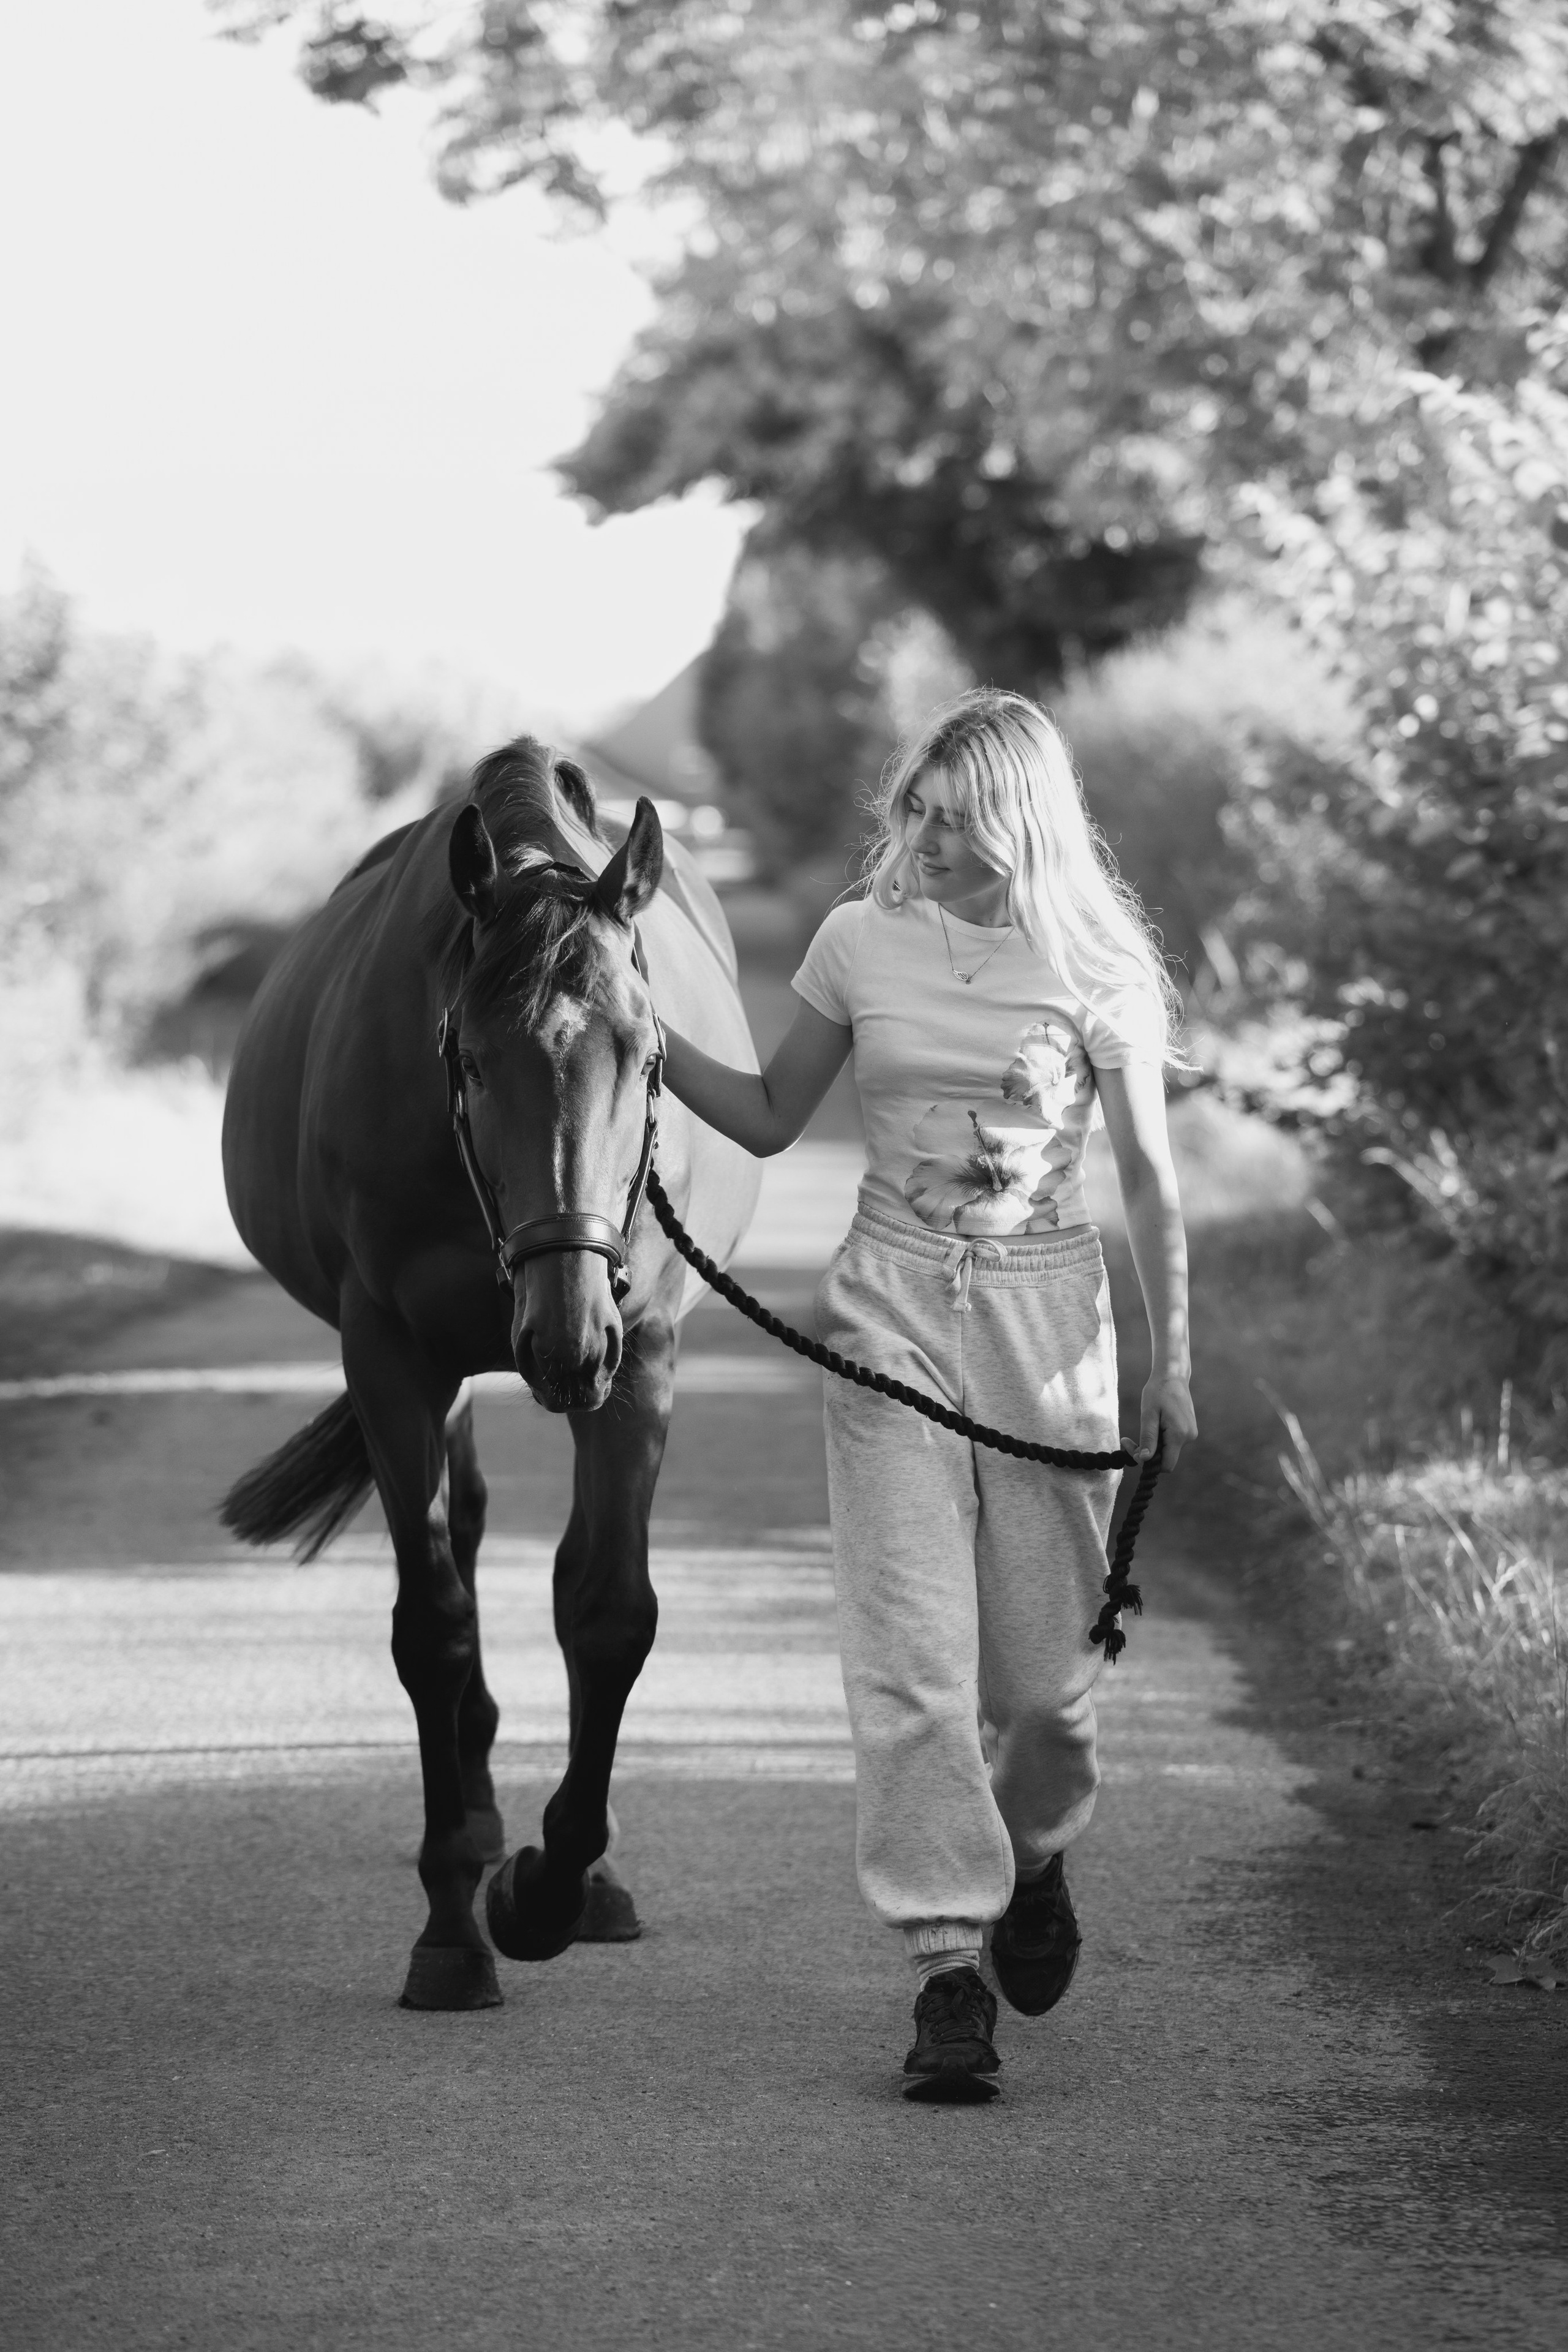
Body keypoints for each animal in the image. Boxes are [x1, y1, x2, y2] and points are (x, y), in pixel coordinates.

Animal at [219, 738, 760, 2010]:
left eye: (651, 1059)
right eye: (467, 1057)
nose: (565, 1341)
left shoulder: (639, 1350)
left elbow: (607, 1610)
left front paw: (553, 1890)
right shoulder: (390, 1353)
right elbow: (435, 1626)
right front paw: (456, 1925)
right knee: (459, 1540)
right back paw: (467, 1827)